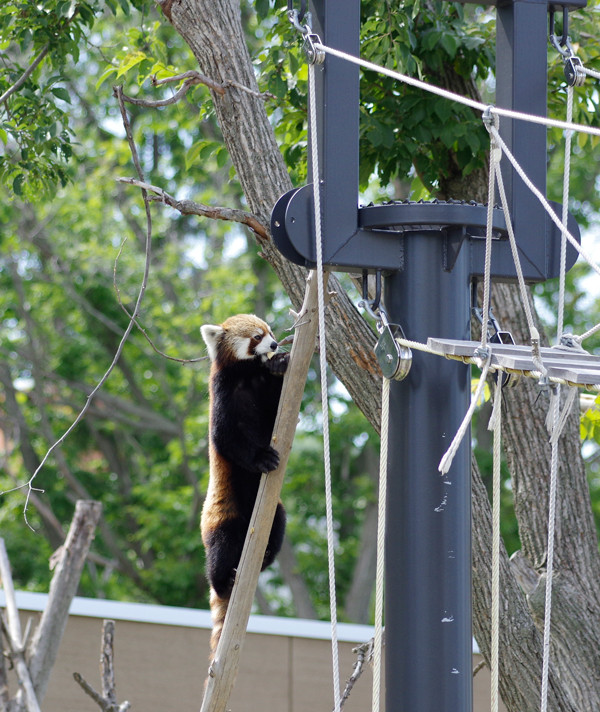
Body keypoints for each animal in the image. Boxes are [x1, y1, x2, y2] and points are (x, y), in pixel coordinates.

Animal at [199, 312, 288, 660]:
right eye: (256, 337)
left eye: (270, 332)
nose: (275, 345)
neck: (248, 376)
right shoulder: (222, 395)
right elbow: (227, 438)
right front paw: (262, 458)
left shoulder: (267, 396)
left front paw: (280, 364)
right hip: (224, 521)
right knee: (220, 552)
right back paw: (223, 581)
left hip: (275, 514)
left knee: (277, 525)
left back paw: (264, 557)